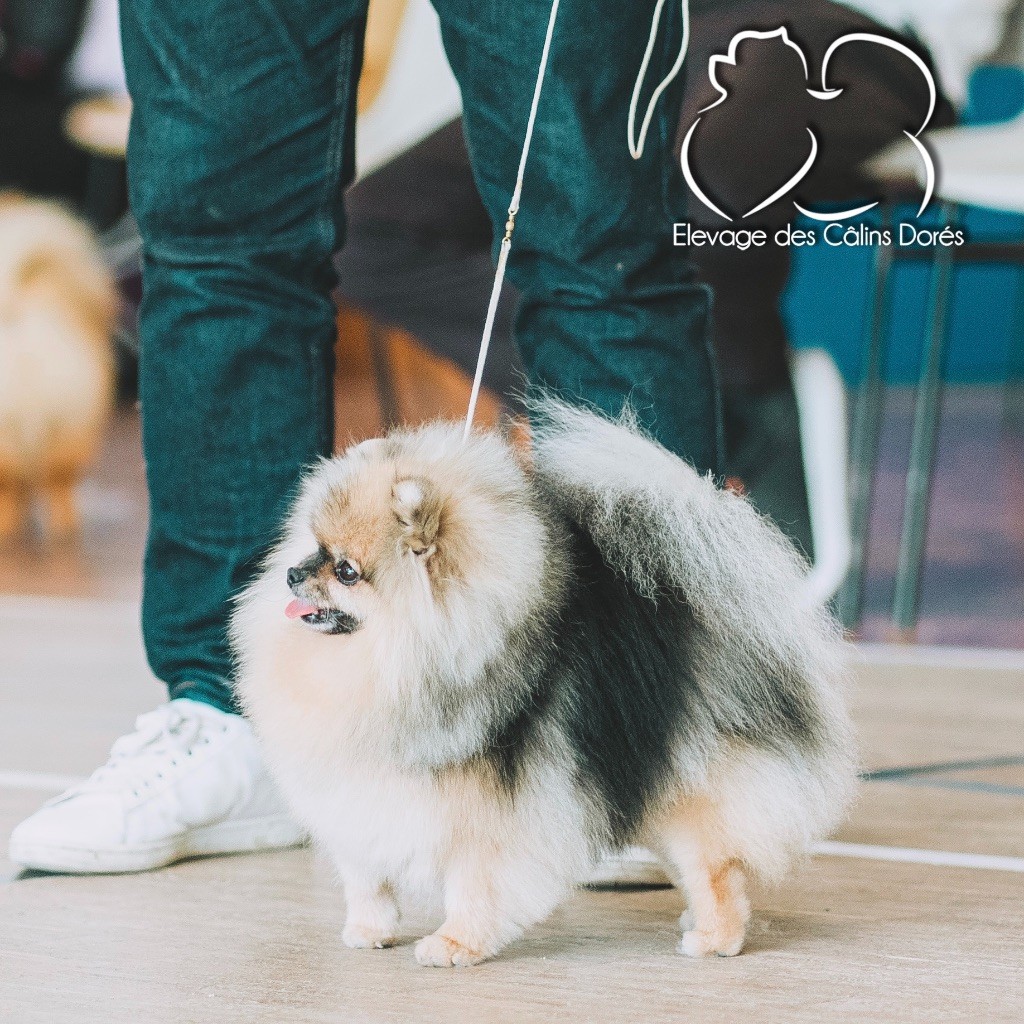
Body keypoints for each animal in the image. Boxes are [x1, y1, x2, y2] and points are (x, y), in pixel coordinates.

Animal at [231, 400, 857, 965]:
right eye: (314, 545)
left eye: (347, 572)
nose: (292, 573)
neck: (389, 660)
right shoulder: (358, 794)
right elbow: (366, 875)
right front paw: (368, 929)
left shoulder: (490, 814)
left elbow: (474, 884)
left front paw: (455, 944)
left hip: (693, 784)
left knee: (716, 866)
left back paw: (716, 937)